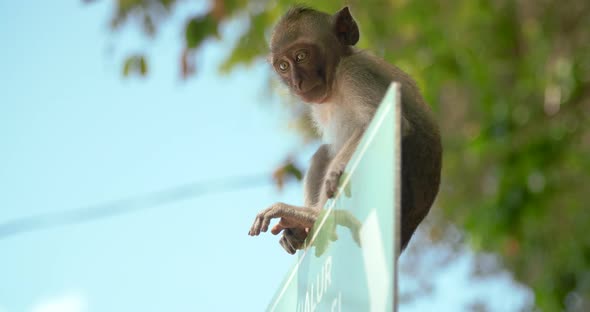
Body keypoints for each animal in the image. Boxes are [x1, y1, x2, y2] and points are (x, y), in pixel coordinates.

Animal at [247, 5, 442, 254]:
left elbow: (386, 123)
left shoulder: (354, 73)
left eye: (301, 56)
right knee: (324, 152)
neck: (336, 77)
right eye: (283, 66)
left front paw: (335, 174)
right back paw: (302, 229)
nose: (297, 82)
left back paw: (312, 216)